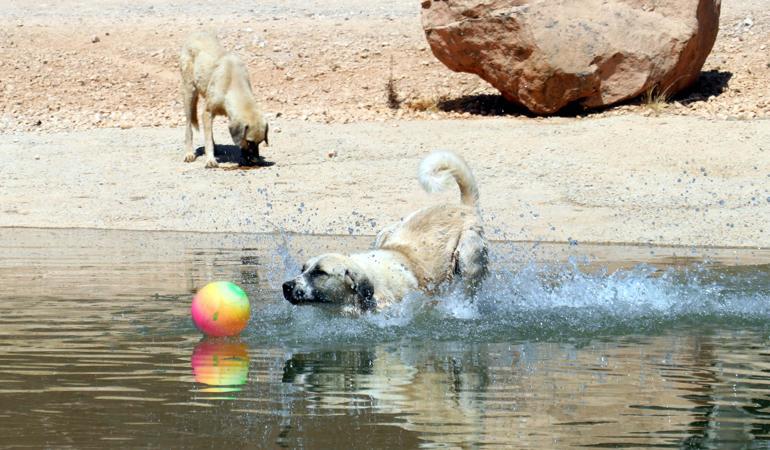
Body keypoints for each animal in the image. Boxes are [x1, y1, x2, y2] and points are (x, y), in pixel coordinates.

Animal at [179, 31, 268, 168]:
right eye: (249, 142)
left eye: (260, 142)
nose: (255, 161)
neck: (233, 84)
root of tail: (195, 34)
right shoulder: (207, 112)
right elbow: (207, 139)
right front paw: (210, 159)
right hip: (189, 92)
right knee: (189, 126)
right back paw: (189, 152)